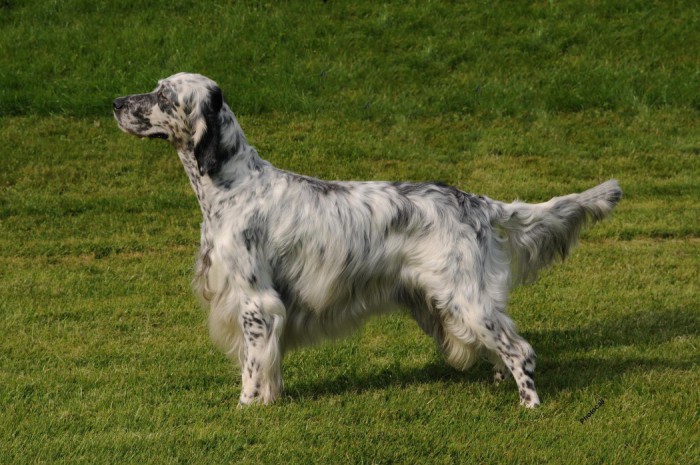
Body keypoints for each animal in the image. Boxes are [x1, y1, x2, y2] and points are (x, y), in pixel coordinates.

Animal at [115, 72, 624, 406]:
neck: (233, 185)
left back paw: (529, 406)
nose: (117, 102)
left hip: (464, 297)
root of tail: (476, 201)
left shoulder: (256, 303)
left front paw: (246, 411)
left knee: (521, 351)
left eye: (162, 95)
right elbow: (268, 369)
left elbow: (252, 370)